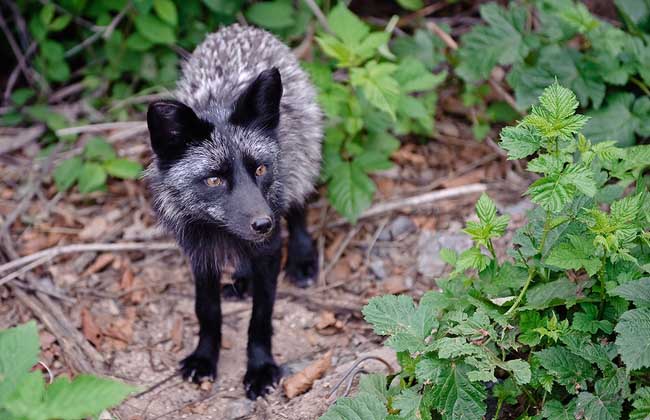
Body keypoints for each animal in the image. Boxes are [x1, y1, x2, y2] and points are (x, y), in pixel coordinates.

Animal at [144, 24, 322, 398]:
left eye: (260, 169)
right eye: (214, 179)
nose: (263, 223)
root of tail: (242, 28)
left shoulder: (270, 248)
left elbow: (261, 318)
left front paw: (260, 368)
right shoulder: (199, 253)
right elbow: (207, 311)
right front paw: (204, 357)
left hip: (302, 165)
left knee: (299, 209)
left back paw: (301, 260)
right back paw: (243, 279)